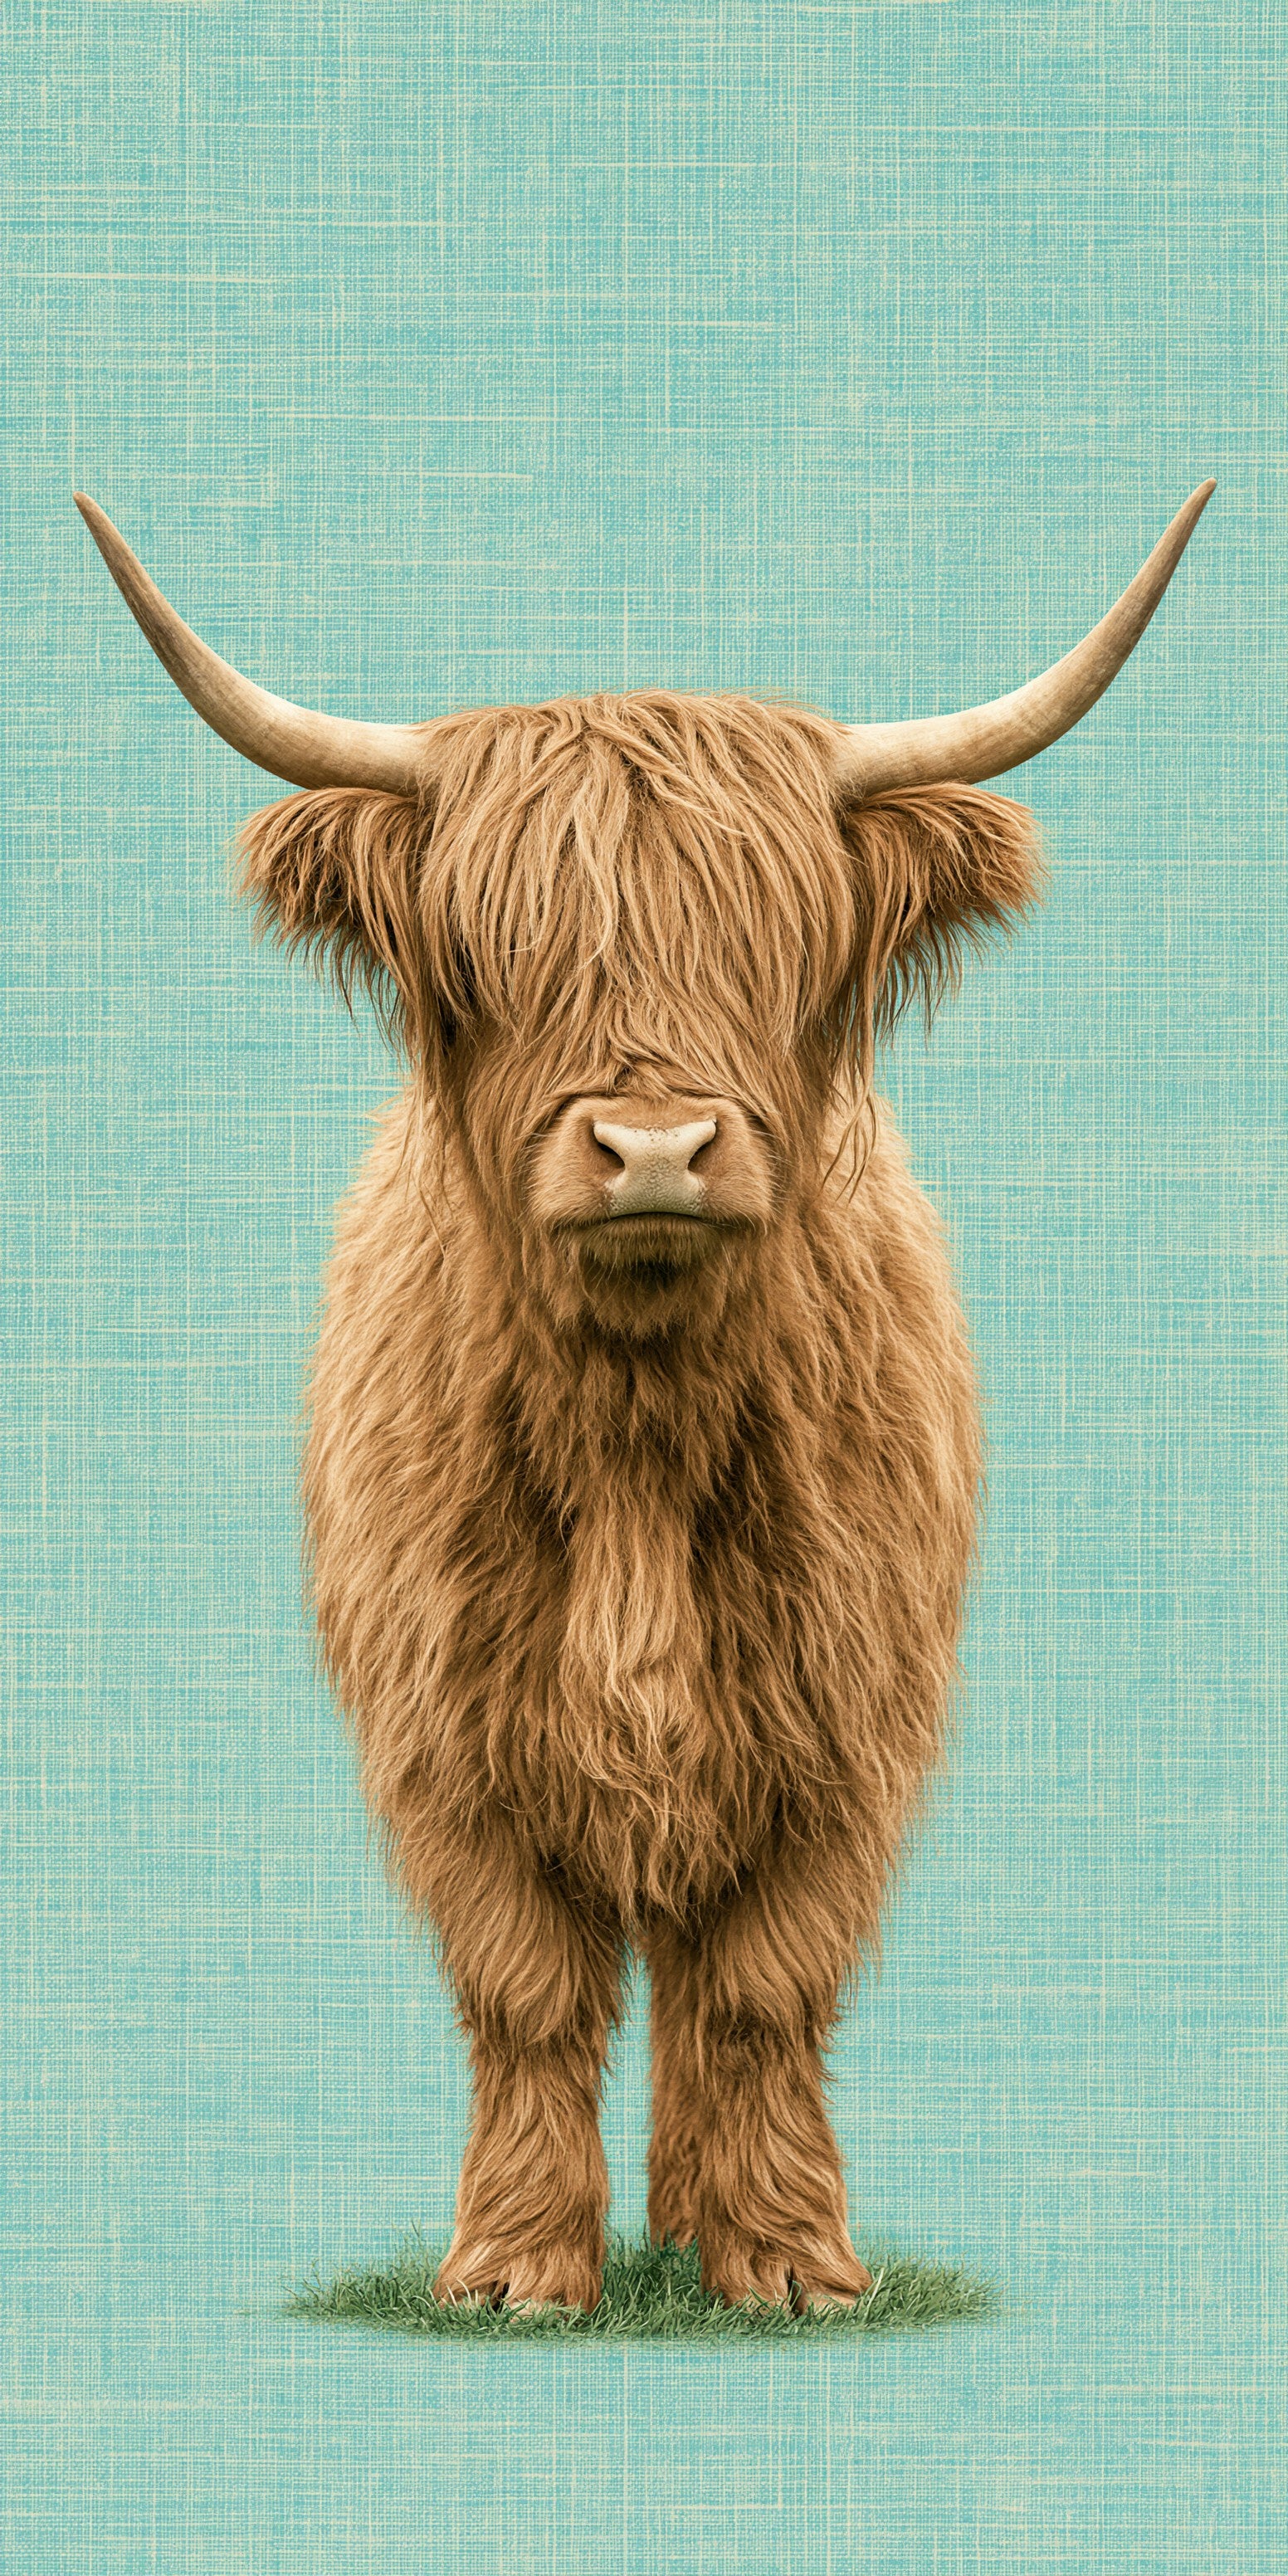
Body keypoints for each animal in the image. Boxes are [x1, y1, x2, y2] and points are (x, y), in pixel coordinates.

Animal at [77, 482, 1212, 2311]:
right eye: (490, 952)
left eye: (777, 946)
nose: (658, 1146)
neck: (636, 1433)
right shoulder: (442, 1737)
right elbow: (528, 1988)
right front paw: (513, 2268)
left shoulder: (845, 1727)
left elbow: (756, 1987)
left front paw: (788, 2262)